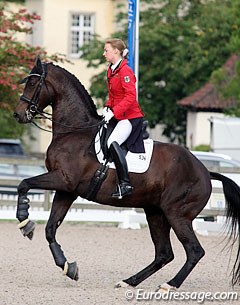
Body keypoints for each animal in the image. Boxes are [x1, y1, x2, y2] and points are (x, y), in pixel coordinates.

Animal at [13, 57, 240, 290]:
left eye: (32, 83)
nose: (18, 114)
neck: (74, 131)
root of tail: (205, 171)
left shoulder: (63, 180)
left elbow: (24, 184)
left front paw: (24, 222)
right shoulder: (67, 190)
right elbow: (50, 229)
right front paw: (68, 267)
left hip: (177, 214)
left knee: (194, 251)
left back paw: (169, 285)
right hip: (156, 213)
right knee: (164, 254)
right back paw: (129, 281)